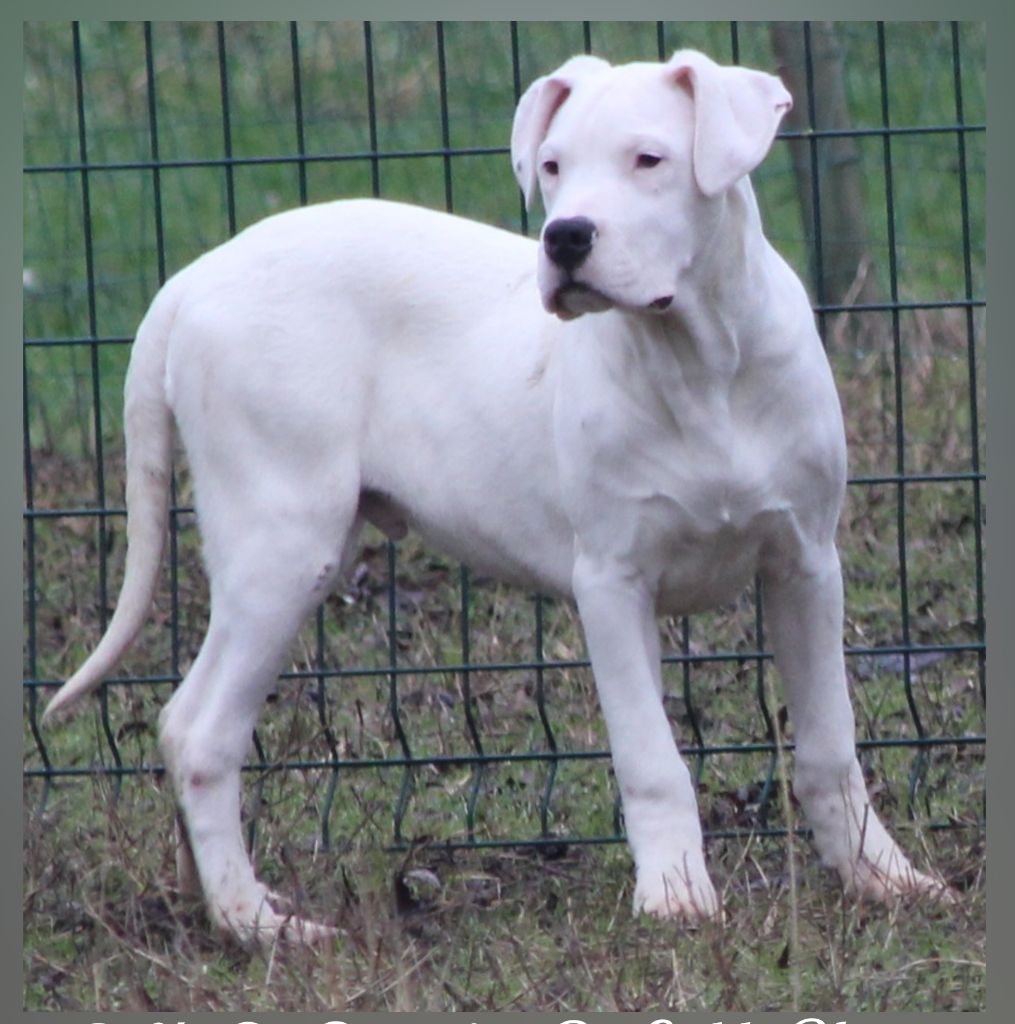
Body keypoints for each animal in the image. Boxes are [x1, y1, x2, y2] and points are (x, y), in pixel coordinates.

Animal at [43, 48, 950, 942]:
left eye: (648, 160)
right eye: (551, 167)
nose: (565, 235)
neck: (697, 363)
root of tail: (194, 277)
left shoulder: (805, 564)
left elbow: (829, 741)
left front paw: (881, 876)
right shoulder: (611, 583)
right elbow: (650, 757)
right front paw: (674, 897)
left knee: (183, 724)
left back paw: (205, 902)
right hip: (282, 542)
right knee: (201, 732)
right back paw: (255, 922)